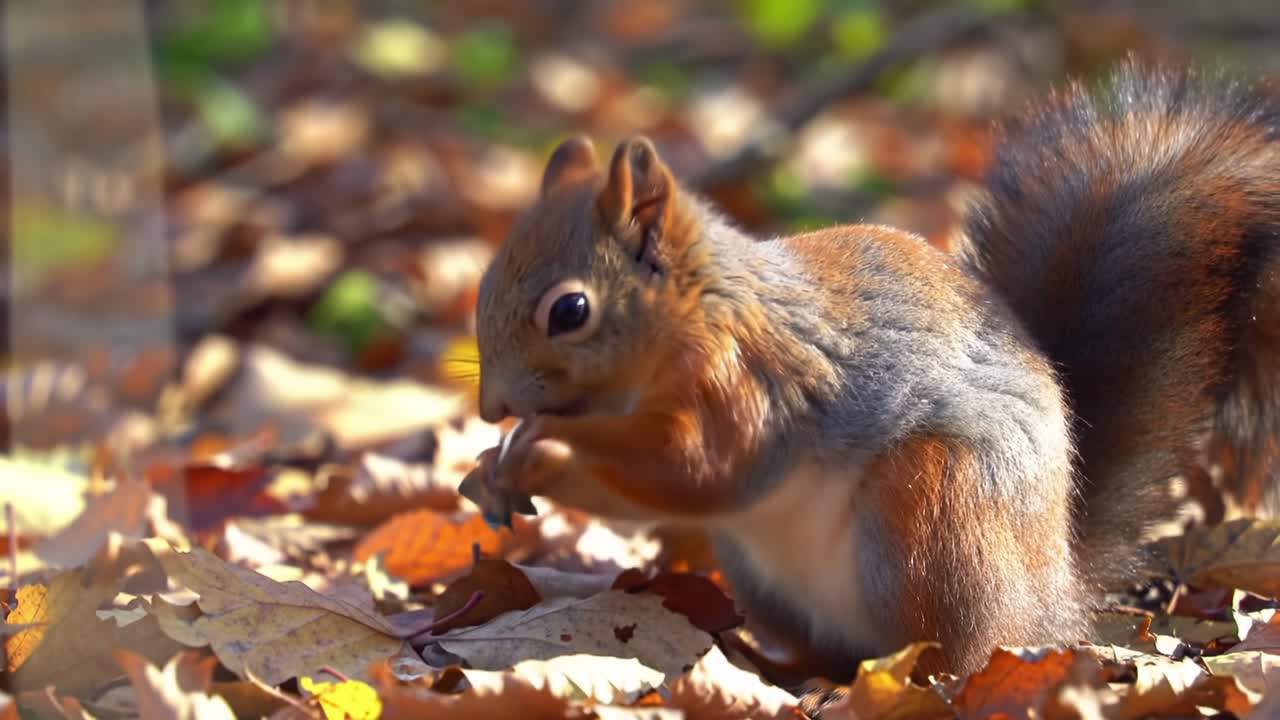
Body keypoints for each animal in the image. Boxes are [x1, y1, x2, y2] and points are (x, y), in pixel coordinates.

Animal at [465, 59, 1280, 680]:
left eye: (570, 311)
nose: (490, 409)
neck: (697, 317)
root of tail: (1056, 599)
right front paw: (487, 471)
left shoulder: (750, 385)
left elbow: (702, 471)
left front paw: (545, 453)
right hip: (762, 570)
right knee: (832, 652)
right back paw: (776, 666)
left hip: (934, 511)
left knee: (956, 650)